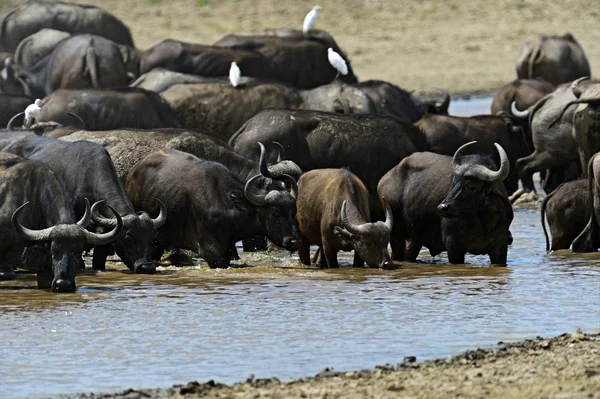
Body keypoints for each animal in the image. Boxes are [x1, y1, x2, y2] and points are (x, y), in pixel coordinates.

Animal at [127, 148, 302, 268]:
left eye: (293, 212)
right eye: (275, 213)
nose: (294, 241)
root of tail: (132, 172)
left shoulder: (228, 250)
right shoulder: (211, 253)